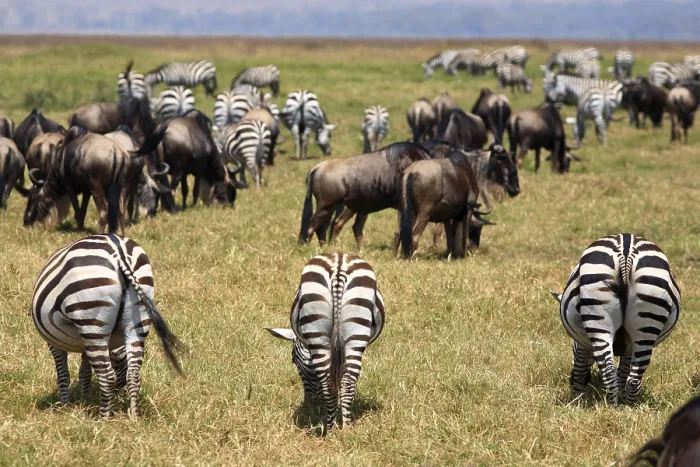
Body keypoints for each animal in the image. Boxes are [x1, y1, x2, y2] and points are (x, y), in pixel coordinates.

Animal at [31, 234, 184, 418]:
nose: (120, 390)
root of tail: (120, 253)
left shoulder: (55, 343)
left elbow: (63, 374)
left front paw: (65, 407)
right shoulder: (85, 344)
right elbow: (85, 372)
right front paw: (85, 401)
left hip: (92, 320)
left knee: (107, 376)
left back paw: (102, 418)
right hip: (137, 317)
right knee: (134, 375)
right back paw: (133, 416)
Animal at [267, 252, 385, 434]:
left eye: (294, 361)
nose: (309, 405)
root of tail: (339, 266)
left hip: (322, 330)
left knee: (334, 383)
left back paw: (334, 431)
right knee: (343, 381)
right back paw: (339, 430)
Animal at [551, 233, 680, 405]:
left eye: (572, 343)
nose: (570, 381)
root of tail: (626, 254)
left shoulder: (582, 344)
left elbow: (581, 368)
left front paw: (576, 399)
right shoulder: (629, 345)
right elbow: (623, 371)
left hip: (600, 320)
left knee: (609, 371)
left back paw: (612, 406)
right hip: (646, 323)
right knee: (632, 377)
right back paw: (626, 407)